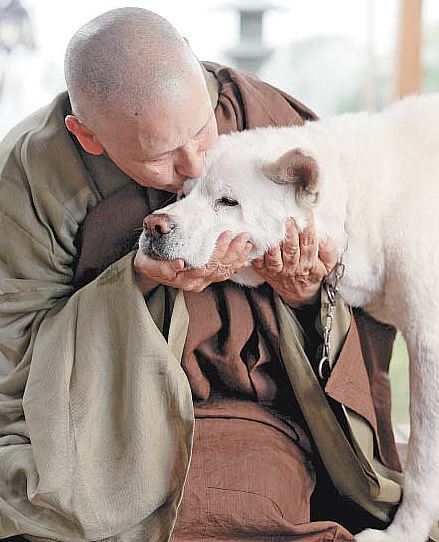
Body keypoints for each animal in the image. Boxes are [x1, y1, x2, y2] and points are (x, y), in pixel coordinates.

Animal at [140, 94, 439, 542]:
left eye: (228, 202)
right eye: (182, 193)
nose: (154, 226)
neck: (357, 205)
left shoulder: (429, 343)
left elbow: (423, 456)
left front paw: (404, 531)